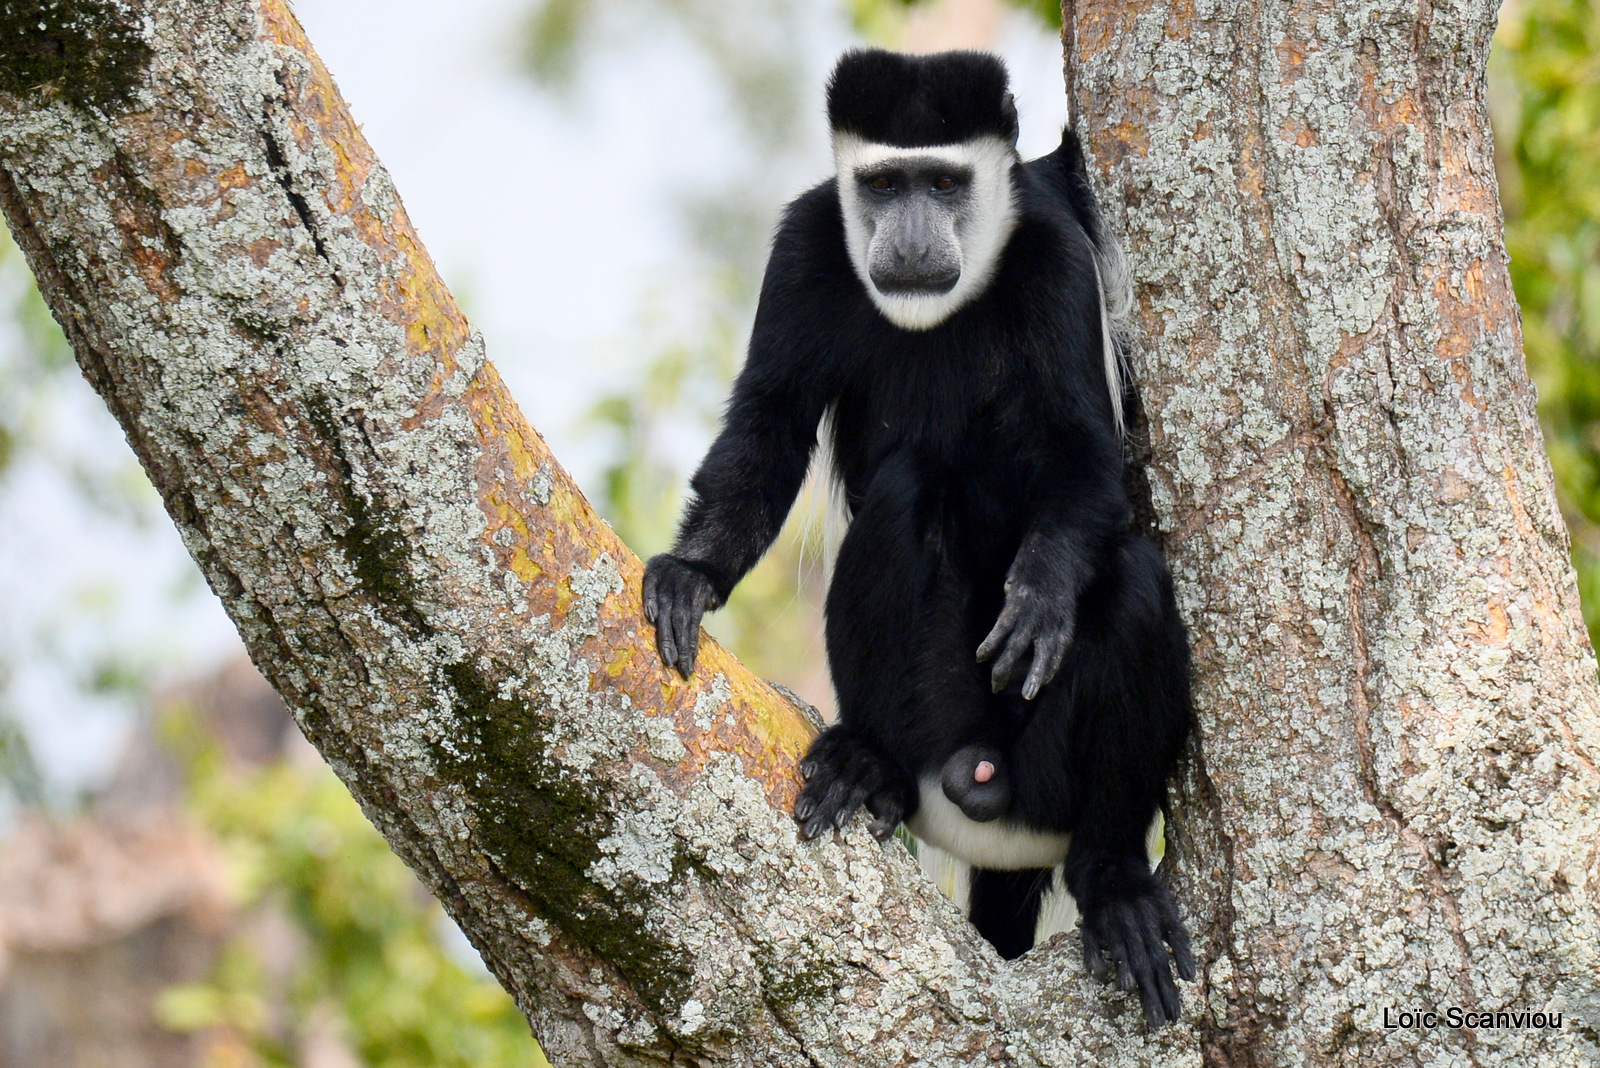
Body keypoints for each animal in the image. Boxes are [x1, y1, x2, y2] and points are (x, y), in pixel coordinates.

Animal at [643, 49, 1196, 1023]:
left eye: (943, 183)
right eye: (884, 184)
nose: (907, 238)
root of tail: (984, 780)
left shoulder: (1055, 267)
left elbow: (1083, 455)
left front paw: (1039, 597)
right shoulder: (806, 247)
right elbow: (768, 425)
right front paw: (691, 573)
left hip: (1048, 779)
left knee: (1132, 583)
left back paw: (1117, 882)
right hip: (939, 721)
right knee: (908, 495)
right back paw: (874, 767)